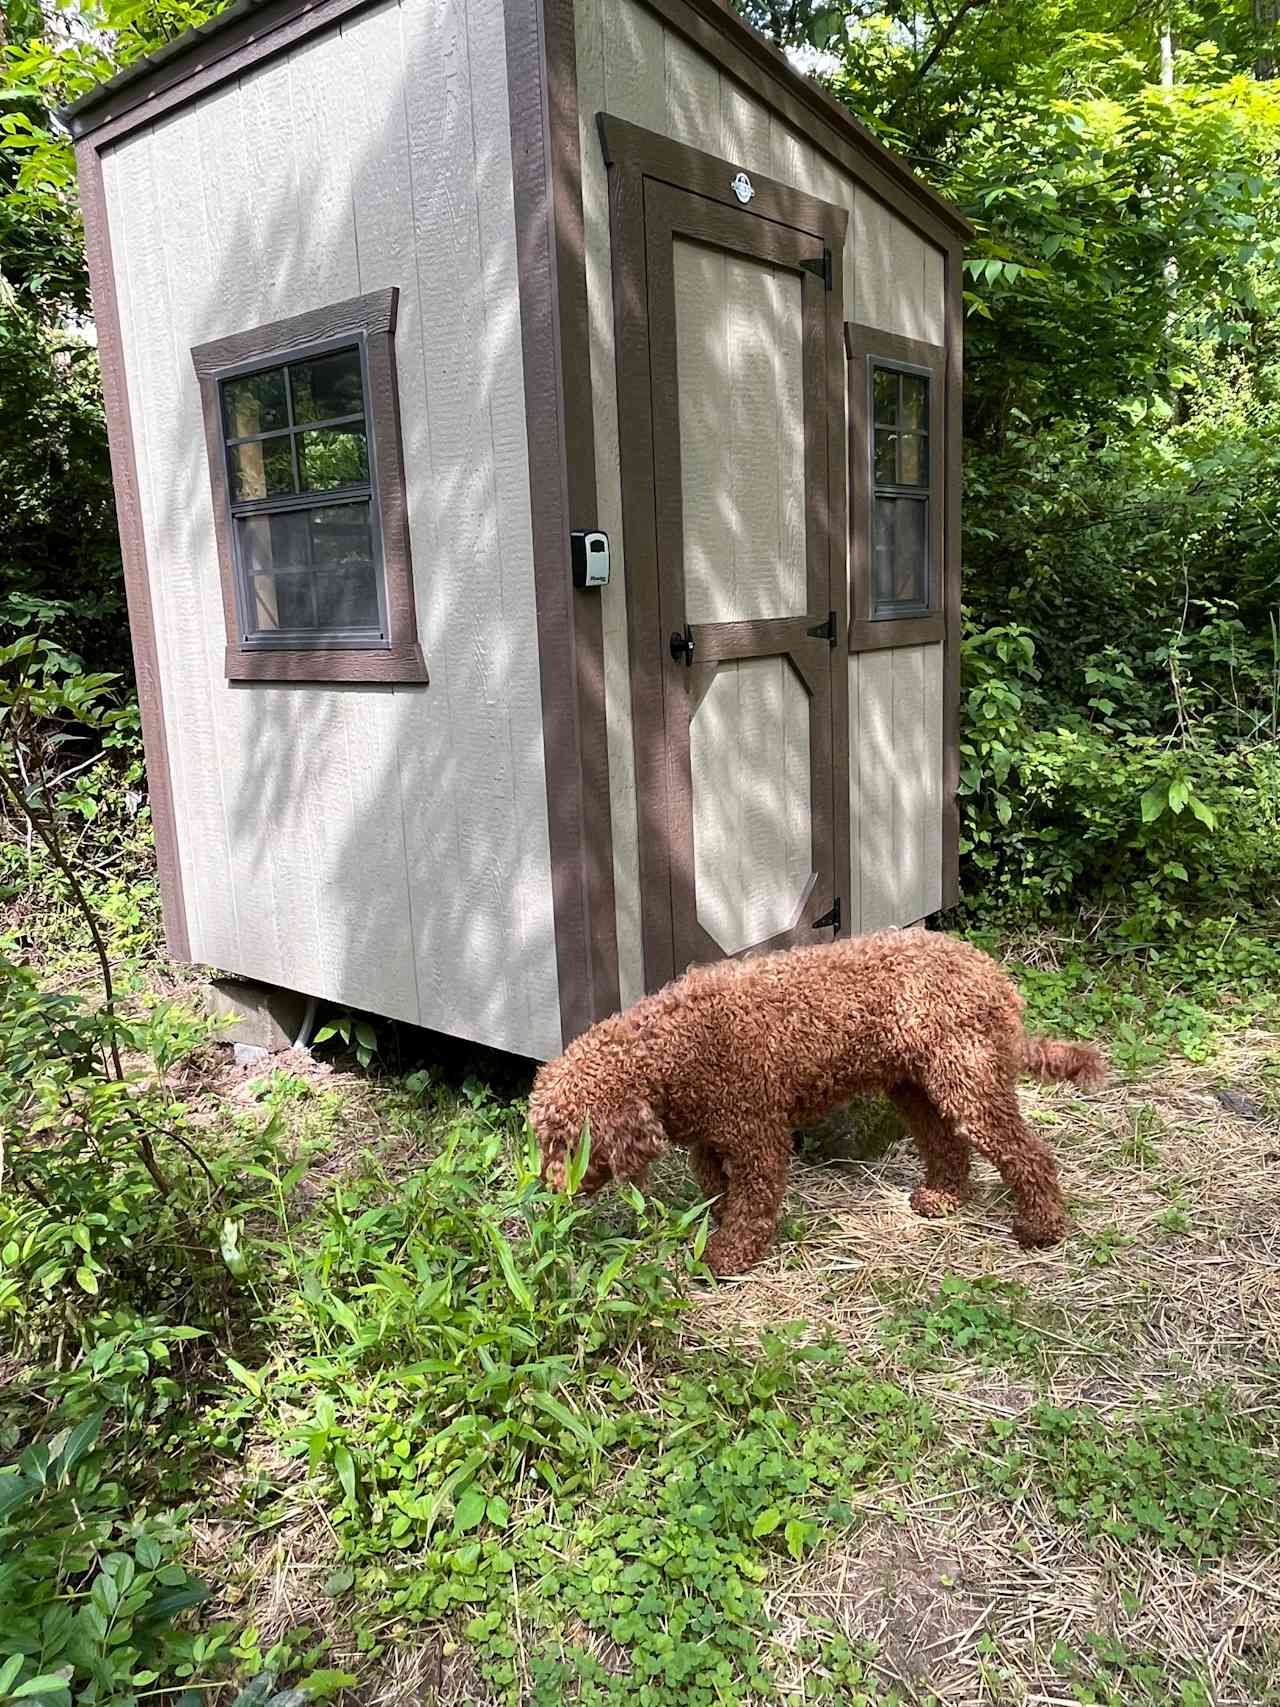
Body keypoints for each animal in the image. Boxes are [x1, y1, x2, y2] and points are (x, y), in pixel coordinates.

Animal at [532, 935, 1105, 1283]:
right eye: (545, 1142)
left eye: (567, 1143)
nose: (550, 1189)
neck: (673, 1049)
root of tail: (993, 974)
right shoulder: (710, 1140)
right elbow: (719, 1191)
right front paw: (712, 1224)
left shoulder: (756, 1134)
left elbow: (753, 1203)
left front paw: (728, 1255)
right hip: (916, 1086)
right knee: (946, 1144)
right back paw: (942, 1198)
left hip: (968, 1079)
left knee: (1028, 1154)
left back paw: (1041, 1227)